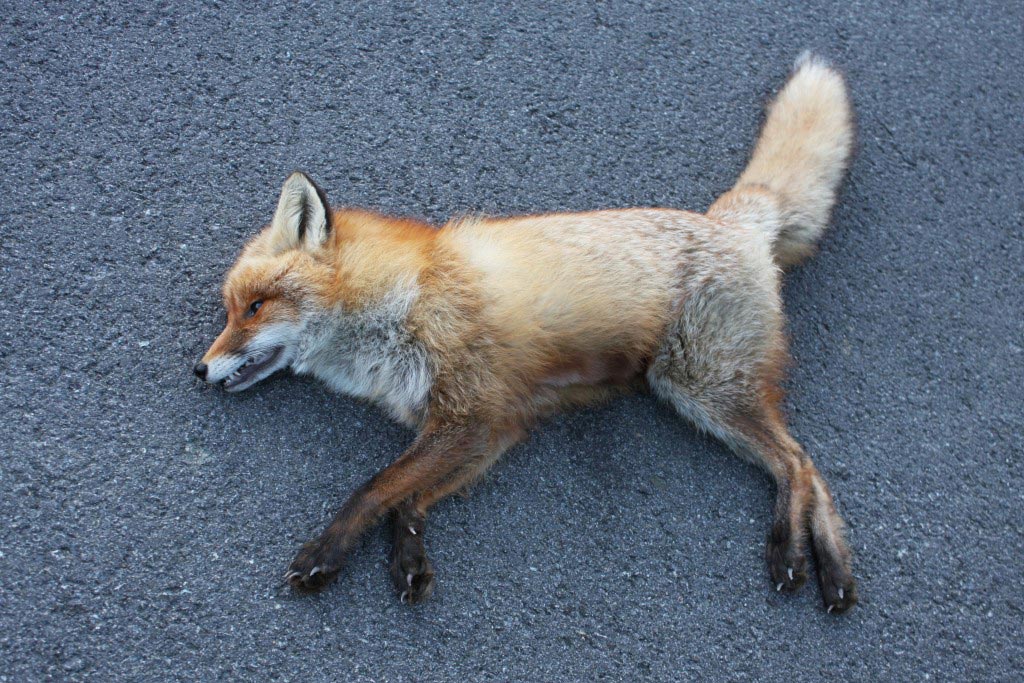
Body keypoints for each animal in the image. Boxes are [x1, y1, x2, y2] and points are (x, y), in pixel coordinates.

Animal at [195, 53, 858, 613]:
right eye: (229, 311)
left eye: (254, 307)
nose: (199, 369)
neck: (404, 297)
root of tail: (734, 219)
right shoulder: (494, 425)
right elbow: (408, 499)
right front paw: (410, 563)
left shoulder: (469, 413)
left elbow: (375, 488)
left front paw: (324, 557)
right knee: (808, 467)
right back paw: (837, 573)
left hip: (699, 386)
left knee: (798, 463)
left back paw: (793, 555)